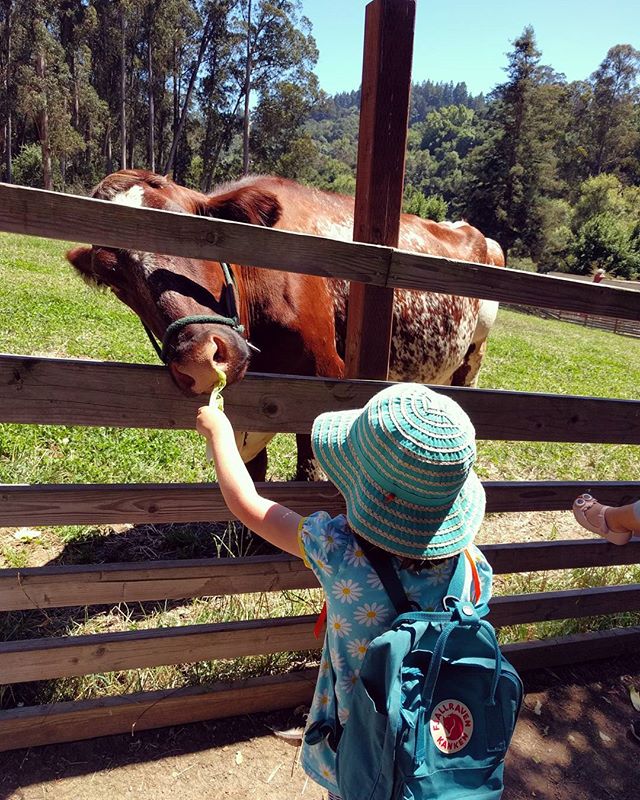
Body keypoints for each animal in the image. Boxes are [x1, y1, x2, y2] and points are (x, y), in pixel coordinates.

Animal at [66, 170, 504, 478]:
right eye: (113, 277)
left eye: (196, 235)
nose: (201, 360)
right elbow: (251, 470)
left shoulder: (326, 381)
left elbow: (308, 470)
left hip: (473, 356)